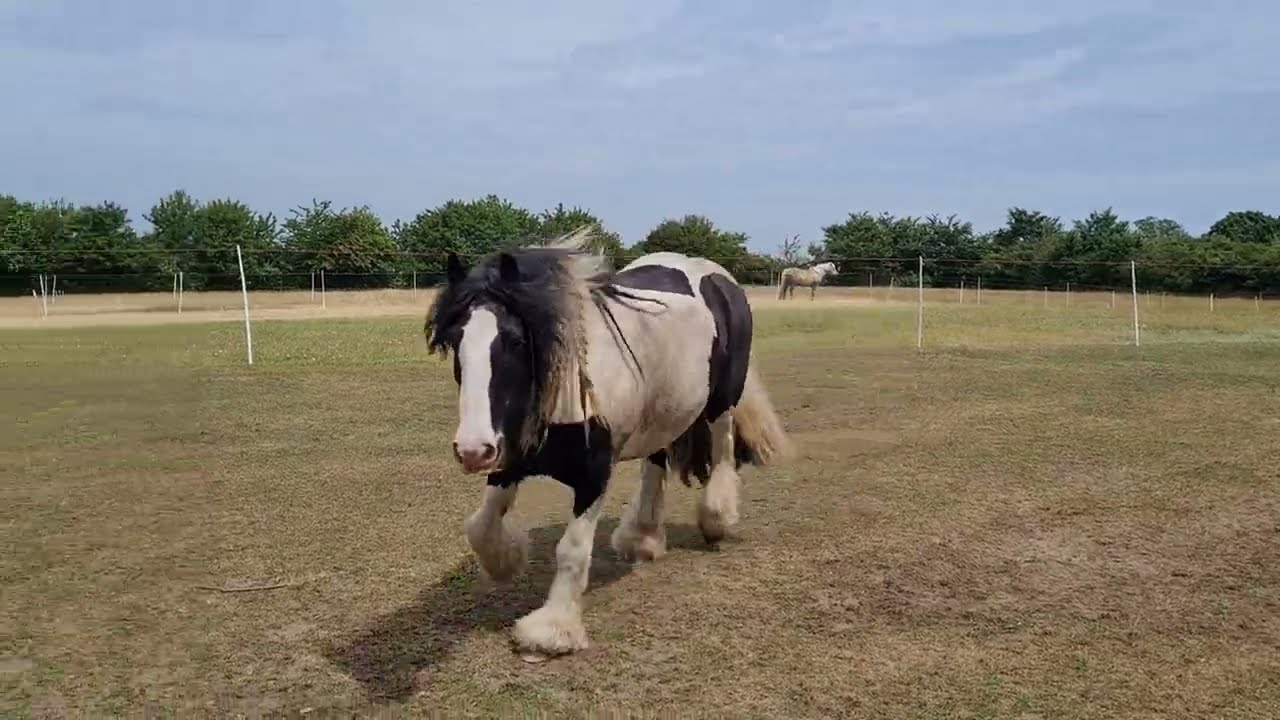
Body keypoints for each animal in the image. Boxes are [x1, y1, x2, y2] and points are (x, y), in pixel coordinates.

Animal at [423, 226, 794, 662]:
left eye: (515, 341)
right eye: (455, 341)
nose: (472, 451)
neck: (567, 387)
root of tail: (717, 275)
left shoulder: (594, 474)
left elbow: (571, 549)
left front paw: (551, 630)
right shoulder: (511, 458)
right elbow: (481, 527)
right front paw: (505, 563)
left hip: (721, 403)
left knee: (721, 451)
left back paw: (715, 521)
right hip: (663, 411)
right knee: (655, 464)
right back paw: (642, 538)